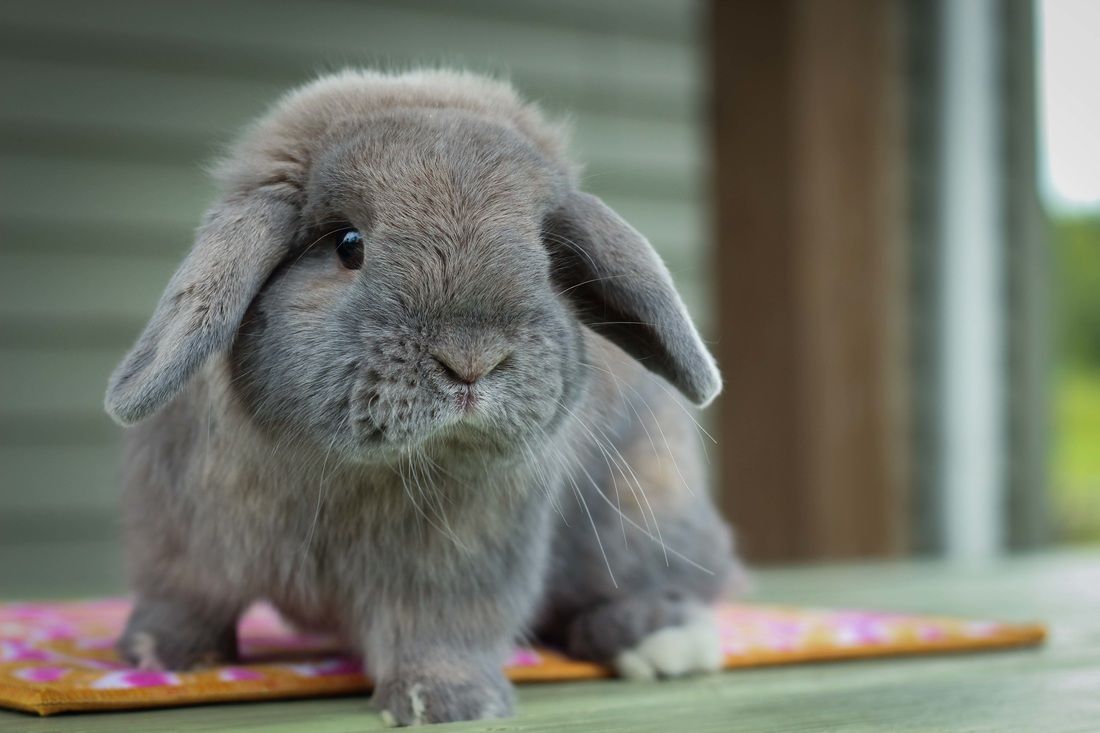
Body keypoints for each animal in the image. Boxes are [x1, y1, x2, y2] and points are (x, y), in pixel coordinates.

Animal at [104, 69, 742, 726]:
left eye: (546, 257)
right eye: (348, 243)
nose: (472, 359)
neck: (343, 470)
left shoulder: (459, 564)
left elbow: (438, 630)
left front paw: (448, 704)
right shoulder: (181, 540)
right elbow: (184, 597)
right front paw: (157, 653)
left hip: (647, 516)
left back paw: (665, 639)